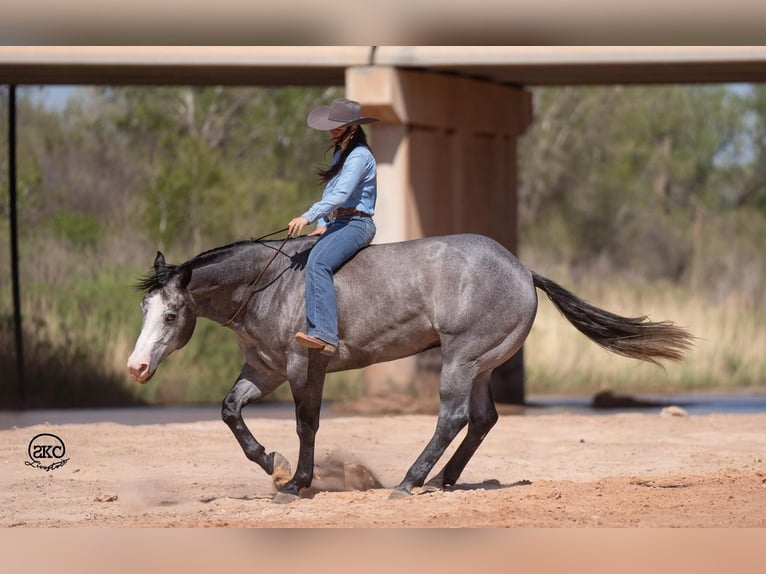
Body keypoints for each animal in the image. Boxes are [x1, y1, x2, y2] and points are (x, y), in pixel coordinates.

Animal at [127, 234, 696, 504]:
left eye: (172, 314)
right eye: (144, 309)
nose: (136, 366)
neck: (271, 284)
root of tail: (522, 269)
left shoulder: (302, 366)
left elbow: (307, 424)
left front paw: (296, 480)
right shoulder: (264, 369)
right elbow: (230, 411)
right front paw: (272, 463)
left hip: (460, 359)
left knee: (453, 418)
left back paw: (410, 480)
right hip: (481, 365)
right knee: (482, 419)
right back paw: (442, 480)